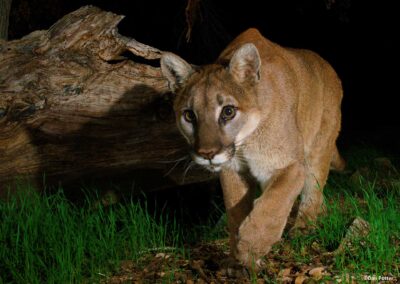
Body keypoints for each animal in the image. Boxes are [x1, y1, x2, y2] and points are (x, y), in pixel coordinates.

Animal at [159, 27, 344, 268]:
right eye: (189, 115)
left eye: (228, 111)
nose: (207, 154)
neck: (245, 143)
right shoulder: (231, 170)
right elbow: (236, 209)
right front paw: (237, 257)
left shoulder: (292, 165)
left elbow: (274, 202)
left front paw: (250, 245)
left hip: (319, 147)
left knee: (314, 191)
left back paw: (304, 228)